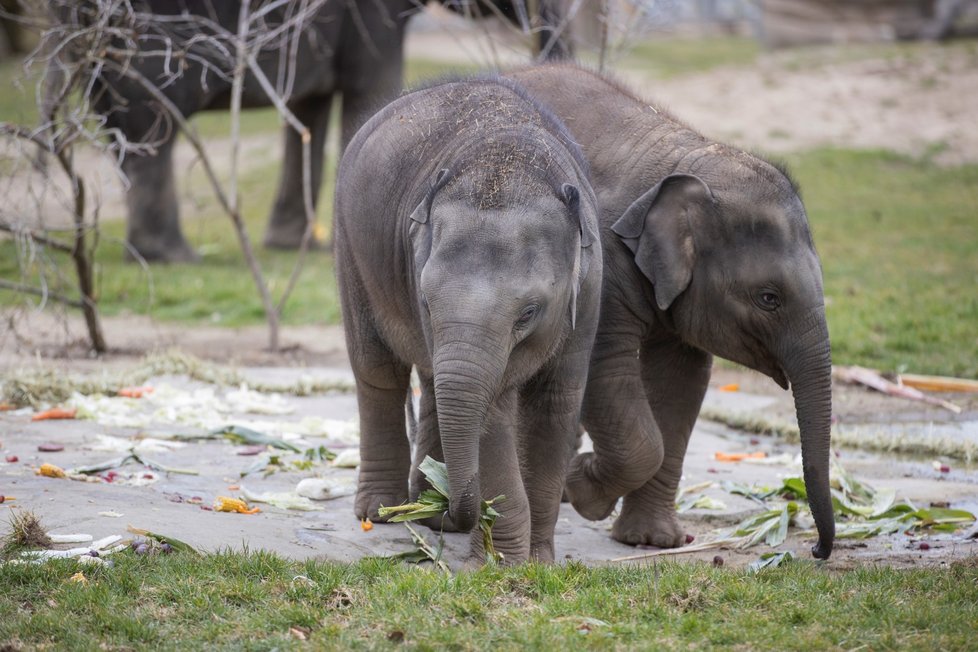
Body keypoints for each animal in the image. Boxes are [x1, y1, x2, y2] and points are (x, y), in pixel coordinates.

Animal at [332, 76, 600, 564]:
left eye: (529, 312)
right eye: (425, 300)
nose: (458, 512)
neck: (509, 163)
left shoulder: (589, 295)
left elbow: (555, 404)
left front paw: (537, 562)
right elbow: (494, 415)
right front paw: (498, 563)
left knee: (432, 381)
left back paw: (424, 508)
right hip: (350, 247)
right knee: (377, 370)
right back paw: (382, 511)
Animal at [508, 63, 836, 556]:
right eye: (769, 298)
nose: (815, 549)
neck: (687, 160)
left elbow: (682, 383)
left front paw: (652, 541)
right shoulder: (604, 264)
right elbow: (605, 369)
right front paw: (584, 490)